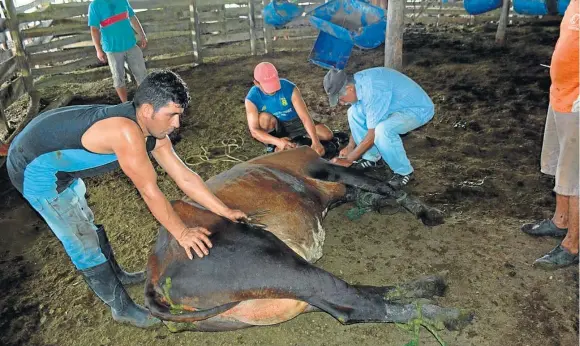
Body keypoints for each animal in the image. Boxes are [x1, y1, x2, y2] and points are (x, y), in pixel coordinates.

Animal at [144, 146, 472, 332]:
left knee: (348, 297)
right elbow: (384, 188)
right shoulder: (327, 170)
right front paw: (426, 210)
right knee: (353, 303)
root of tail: (155, 270)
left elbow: (378, 192)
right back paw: (447, 314)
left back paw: (428, 286)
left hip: (285, 291)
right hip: (275, 262)